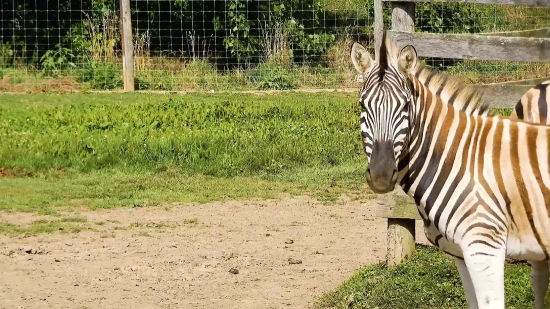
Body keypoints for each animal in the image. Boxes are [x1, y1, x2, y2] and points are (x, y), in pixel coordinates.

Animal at [354, 31, 550, 308]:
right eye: (363, 105)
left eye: (405, 106)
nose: (381, 175)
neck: (460, 160)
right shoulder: (461, 254)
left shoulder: (484, 248)